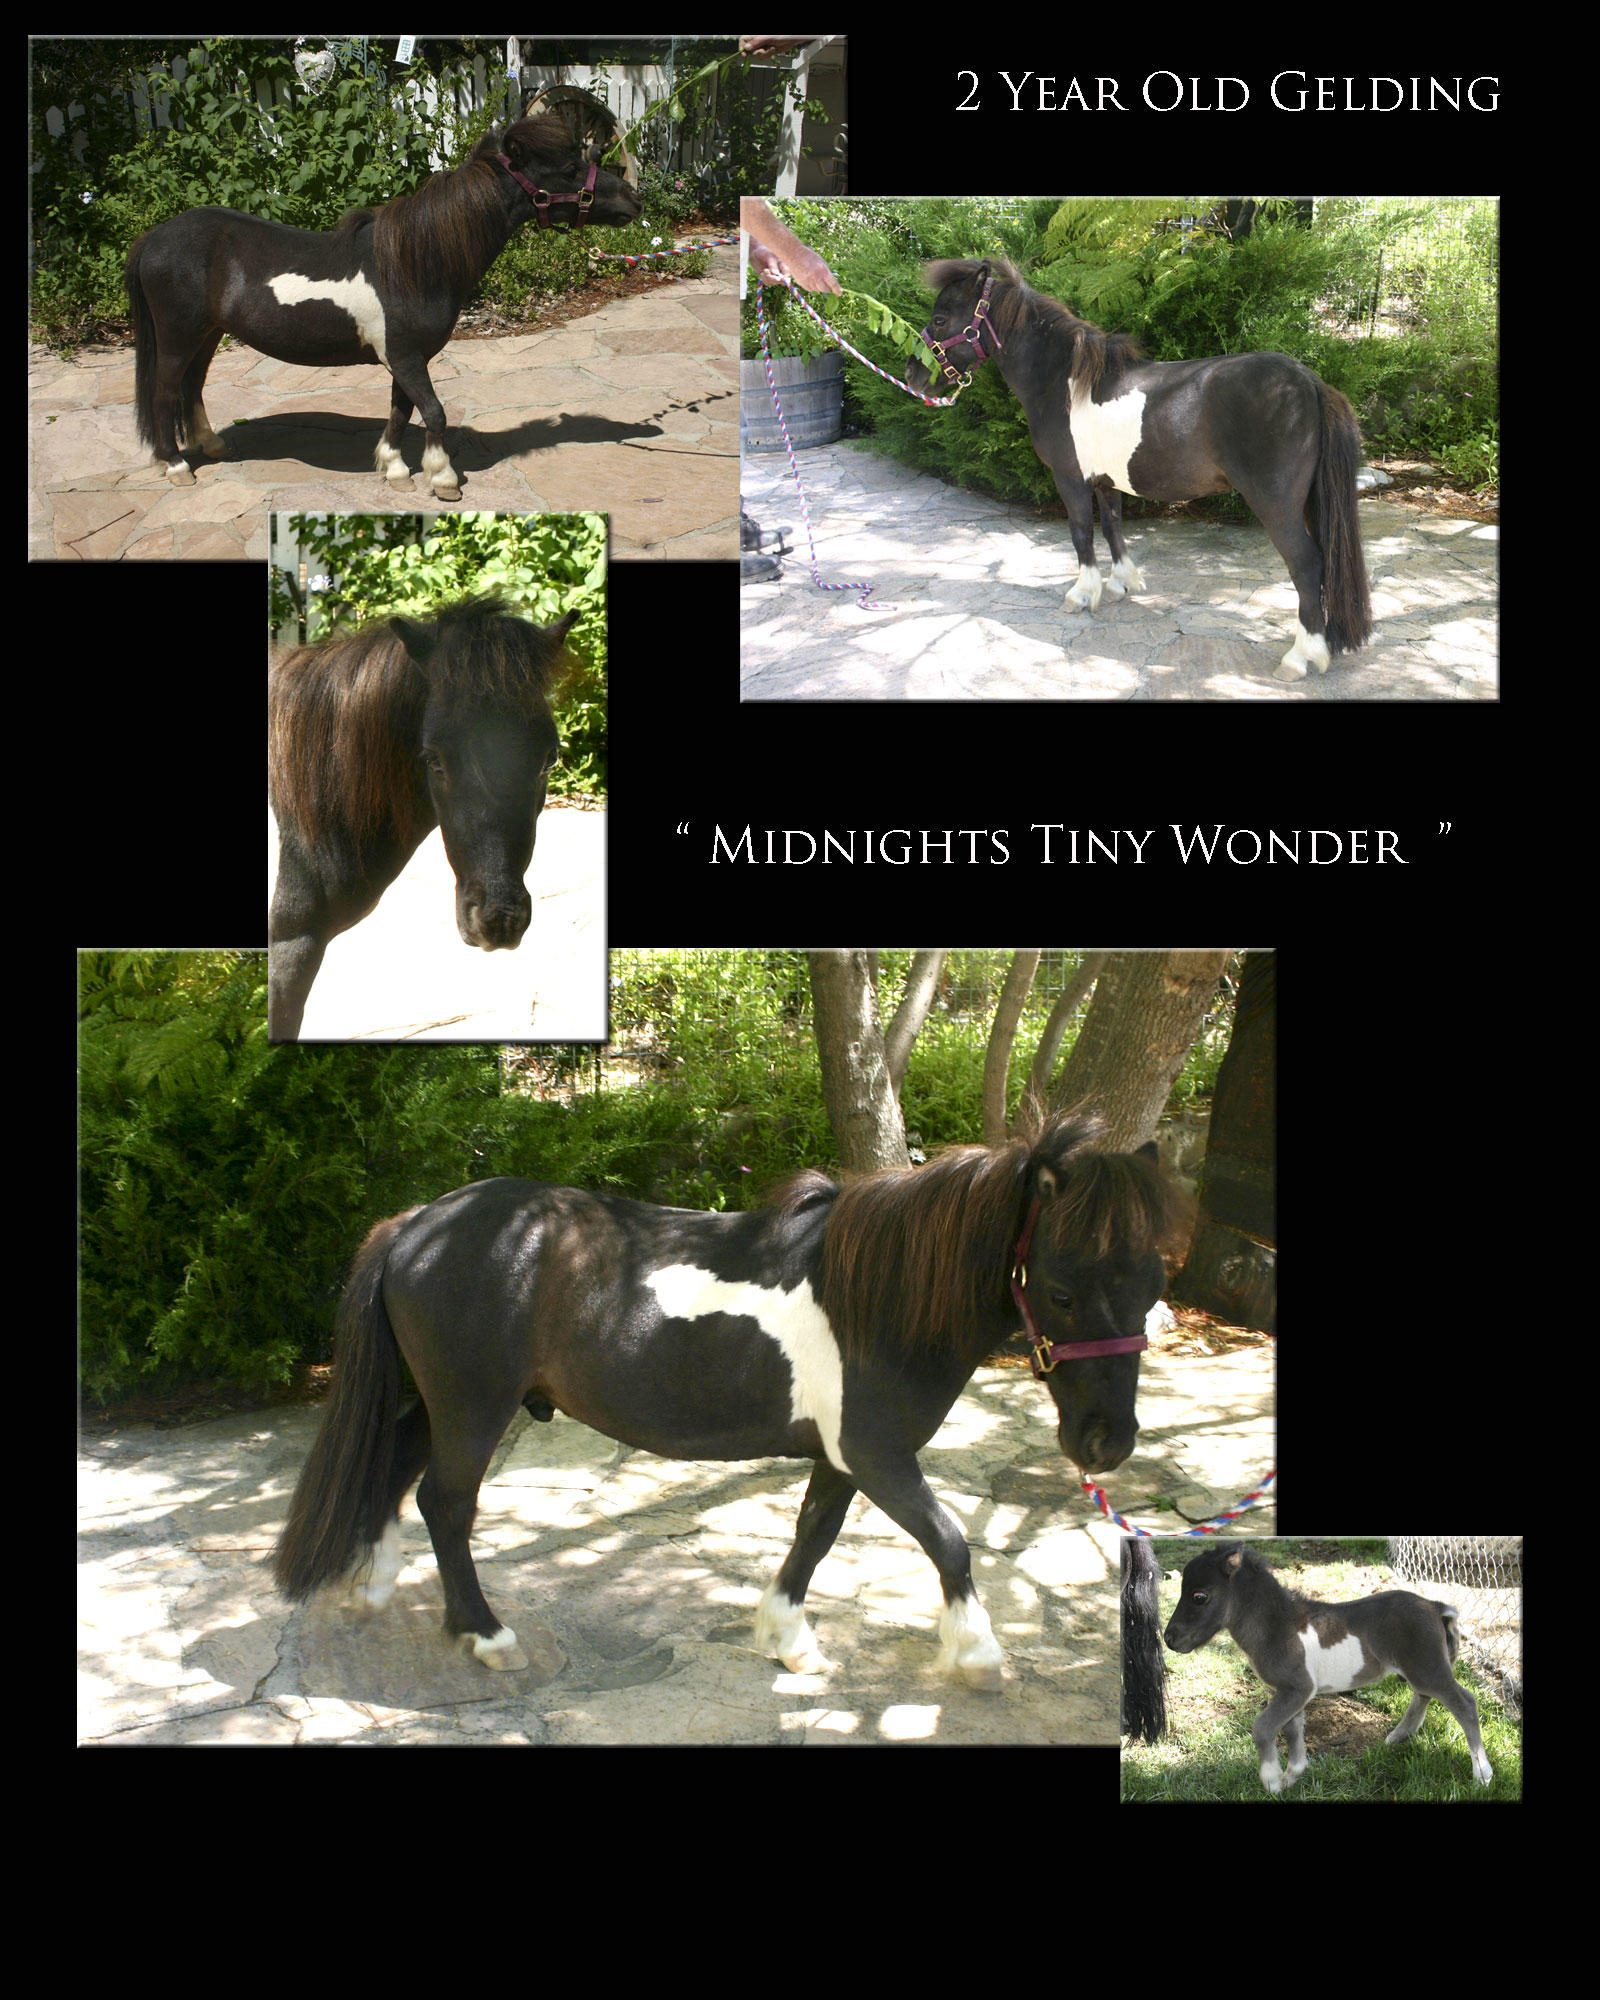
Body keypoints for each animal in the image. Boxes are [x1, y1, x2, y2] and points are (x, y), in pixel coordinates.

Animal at [124, 114, 642, 501]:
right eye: (569, 168)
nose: (634, 199)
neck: (416, 262)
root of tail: (153, 237)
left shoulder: (405, 358)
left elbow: (401, 412)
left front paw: (395, 470)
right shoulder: (407, 358)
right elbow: (433, 412)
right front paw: (443, 478)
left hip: (207, 334)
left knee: (192, 387)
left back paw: (211, 446)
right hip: (178, 337)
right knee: (164, 393)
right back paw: (177, 466)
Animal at [273, 1113, 1193, 1687]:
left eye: (1155, 1284)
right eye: (1063, 1293)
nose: (1107, 1442)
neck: (877, 1298)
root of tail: (418, 1223)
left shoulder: (842, 1459)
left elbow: (814, 1539)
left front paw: (787, 1640)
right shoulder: (880, 1456)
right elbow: (950, 1543)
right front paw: (976, 1657)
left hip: (443, 1403)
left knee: (397, 1473)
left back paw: (373, 1588)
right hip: (473, 1407)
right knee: (445, 1502)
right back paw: (486, 1634)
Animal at [906, 258, 1373, 682]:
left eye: (941, 318)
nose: (914, 376)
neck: (1064, 381)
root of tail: (1311, 383)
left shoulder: (1070, 478)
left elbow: (1081, 533)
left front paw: (1082, 594)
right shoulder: (1106, 481)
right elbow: (1113, 527)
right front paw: (1121, 585)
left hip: (1275, 505)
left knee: (1307, 565)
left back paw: (1300, 658)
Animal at [1163, 1544, 1494, 1792]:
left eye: (1199, 1596)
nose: (1169, 1639)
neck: (1277, 1626)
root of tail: (1436, 1607)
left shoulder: (1299, 1688)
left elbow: (1264, 1728)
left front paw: (1272, 1781)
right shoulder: (1290, 1692)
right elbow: (1292, 1728)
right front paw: (1293, 1774)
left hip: (1429, 1668)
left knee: (1464, 1703)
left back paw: (1483, 1774)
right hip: (1418, 1669)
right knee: (1422, 1696)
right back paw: (1397, 1738)